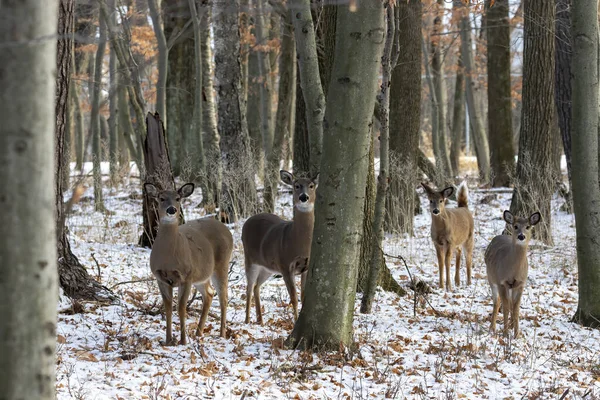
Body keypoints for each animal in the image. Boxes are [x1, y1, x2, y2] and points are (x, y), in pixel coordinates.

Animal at [144, 183, 233, 346]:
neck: (169, 257)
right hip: (201, 275)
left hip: (221, 264)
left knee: (223, 297)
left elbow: (181, 308)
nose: (171, 209)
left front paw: (183, 341)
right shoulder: (160, 278)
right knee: (209, 293)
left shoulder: (186, 276)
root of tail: (226, 229)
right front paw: (168, 340)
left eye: (178, 198)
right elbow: (168, 308)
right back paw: (198, 333)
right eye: (161, 198)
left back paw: (222, 334)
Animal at [243, 170, 322, 324]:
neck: (299, 243)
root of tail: (247, 221)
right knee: (249, 288)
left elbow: (303, 296)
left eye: (311, 185)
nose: (304, 197)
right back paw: (247, 320)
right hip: (250, 259)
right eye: (296, 185)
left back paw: (260, 321)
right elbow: (294, 298)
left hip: (267, 267)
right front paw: (294, 323)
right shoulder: (285, 265)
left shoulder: (305, 267)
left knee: (256, 287)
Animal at [486, 209, 540, 338]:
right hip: (491, 278)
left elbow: (516, 309)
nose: (521, 236)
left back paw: (510, 326)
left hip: (510, 286)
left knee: (509, 303)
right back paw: (492, 328)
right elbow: (505, 307)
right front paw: (505, 334)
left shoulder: (520, 284)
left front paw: (516, 334)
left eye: (528, 226)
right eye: (515, 226)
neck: (513, 270)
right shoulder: (501, 282)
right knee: (497, 302)